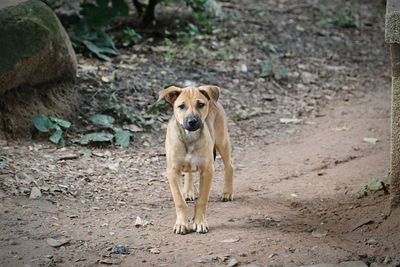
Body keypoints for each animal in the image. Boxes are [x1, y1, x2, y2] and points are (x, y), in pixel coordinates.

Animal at [159, 85, 234, 234]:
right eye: (181, 106)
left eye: (200, 104)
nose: (192, 122)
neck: (190, 137)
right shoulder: (172, 171)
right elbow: (179, 201)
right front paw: (181, 223)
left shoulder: (207, 170)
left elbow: (202, 200)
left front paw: (199, 222)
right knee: (189, 173)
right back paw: (188, 191)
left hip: (222, 141)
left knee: (229, 166)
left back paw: (227, 192)